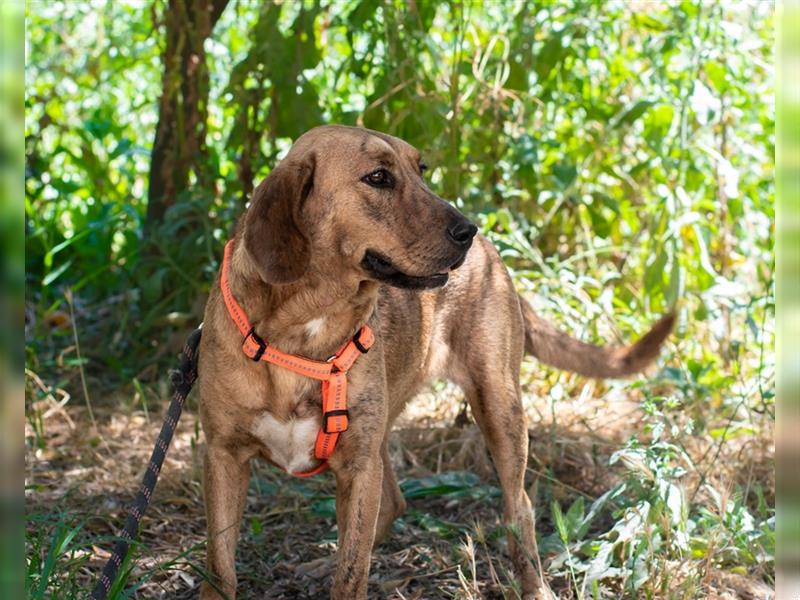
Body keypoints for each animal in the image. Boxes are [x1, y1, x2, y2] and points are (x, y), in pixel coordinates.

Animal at [197, 124, 672, 596]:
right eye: (378, 178)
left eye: (420, 169)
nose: (468, 230)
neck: (302, 334)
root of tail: (493, 256)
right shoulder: (224, 458)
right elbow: (220, 566)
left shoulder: (357, 467)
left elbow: (351, 574)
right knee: (392, 503)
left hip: (498, 407)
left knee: (518, 505)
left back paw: (534, 584)